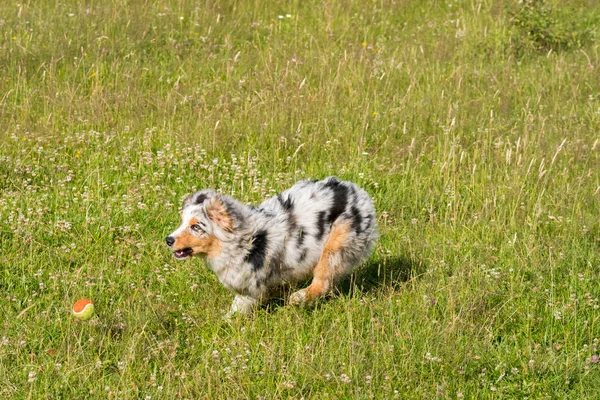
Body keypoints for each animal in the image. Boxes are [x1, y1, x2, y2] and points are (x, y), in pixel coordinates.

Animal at [166, 177, 378, 318]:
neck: (241, 239)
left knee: (322, 280)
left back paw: (299, 298)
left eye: (196, 227)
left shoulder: (249, 289)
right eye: (182, 222)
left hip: (336, 246)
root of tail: (357, 192)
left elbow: (237, 310)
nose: (168, 239)